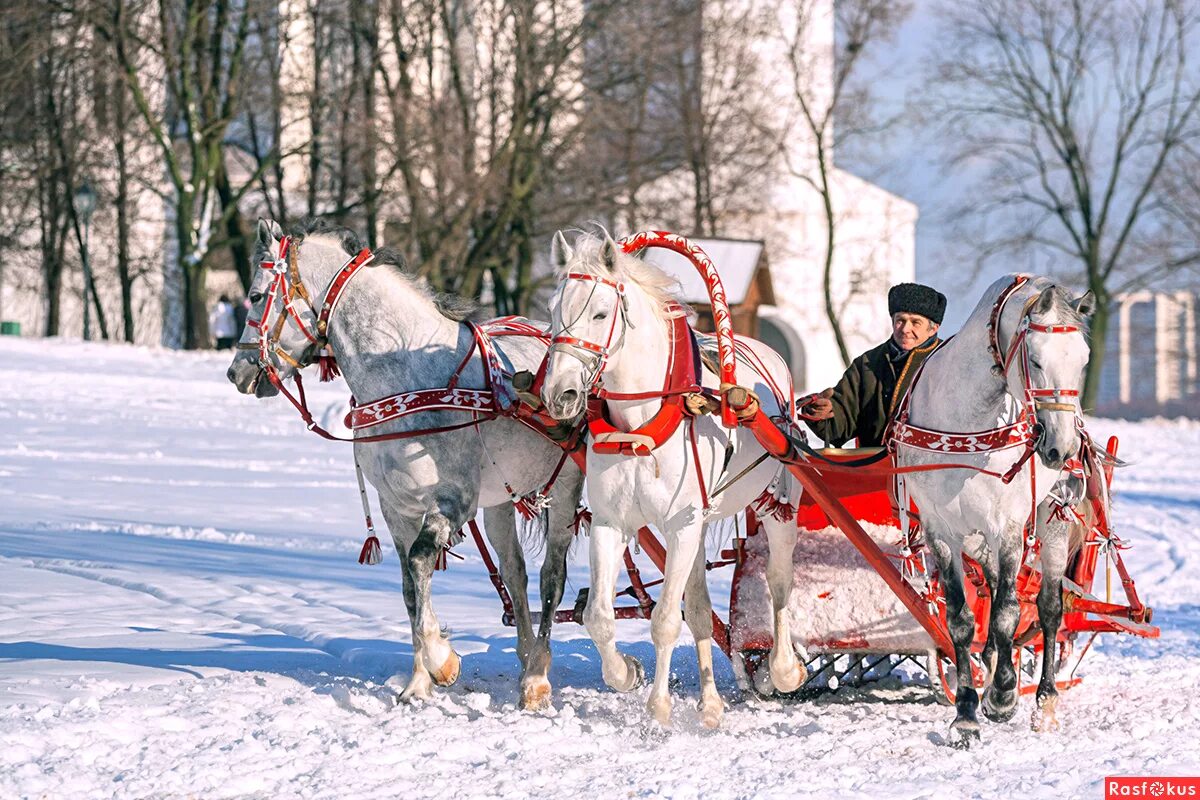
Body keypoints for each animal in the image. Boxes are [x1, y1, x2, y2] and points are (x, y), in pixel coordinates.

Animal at [226, 215, 583, 710]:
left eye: (257, 295)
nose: (237, 372)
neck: (408, 376)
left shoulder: (452, 501)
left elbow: (419, 563)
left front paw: (442, 661)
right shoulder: (396, 507)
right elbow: (409, 588)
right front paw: (418, 683)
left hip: (564, 492)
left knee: (551, 577)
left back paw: (536, 678)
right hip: (499, 500)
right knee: (515, 573)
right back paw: (526, 656)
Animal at [540, 232, 801, 734]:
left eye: (600, 313)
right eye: (552, 308)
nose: (559, 394)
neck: (640, 423)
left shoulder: (681, 524)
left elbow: (663, 620)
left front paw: (659, 705)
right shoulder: (611, 524)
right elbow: (599, 617)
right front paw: (626, 673)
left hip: (773, 506)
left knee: (779, 583)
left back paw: (781, 669)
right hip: (698, 528)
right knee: (699, 608)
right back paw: (711, 703)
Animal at [892, 273, 1099, 743]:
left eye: (1082, 360)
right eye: (1035, 360)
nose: (1061, 449)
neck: (968, 421)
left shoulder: (1007, 526)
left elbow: (1007, 612)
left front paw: (1003, 694)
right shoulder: (940, 529)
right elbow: (960, 618)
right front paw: (967, 711)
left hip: (1053, 522)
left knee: (1048, 609)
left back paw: (1044, 701)